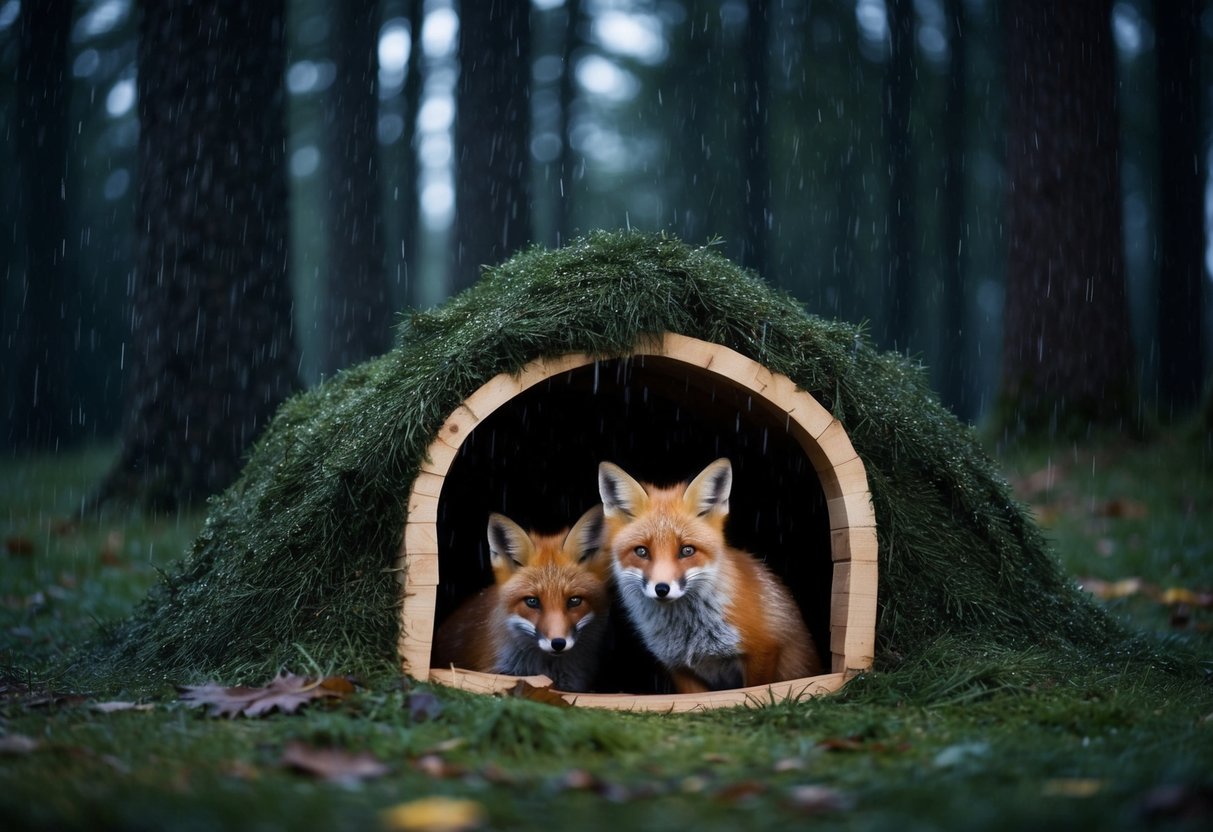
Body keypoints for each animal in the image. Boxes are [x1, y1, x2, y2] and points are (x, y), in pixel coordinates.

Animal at [597, 458, 821, 694]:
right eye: (641, 551)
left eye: (687, 550)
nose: (662, 589)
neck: (689, 634)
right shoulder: (679, 668)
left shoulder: (763, 650)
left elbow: (756, 688)